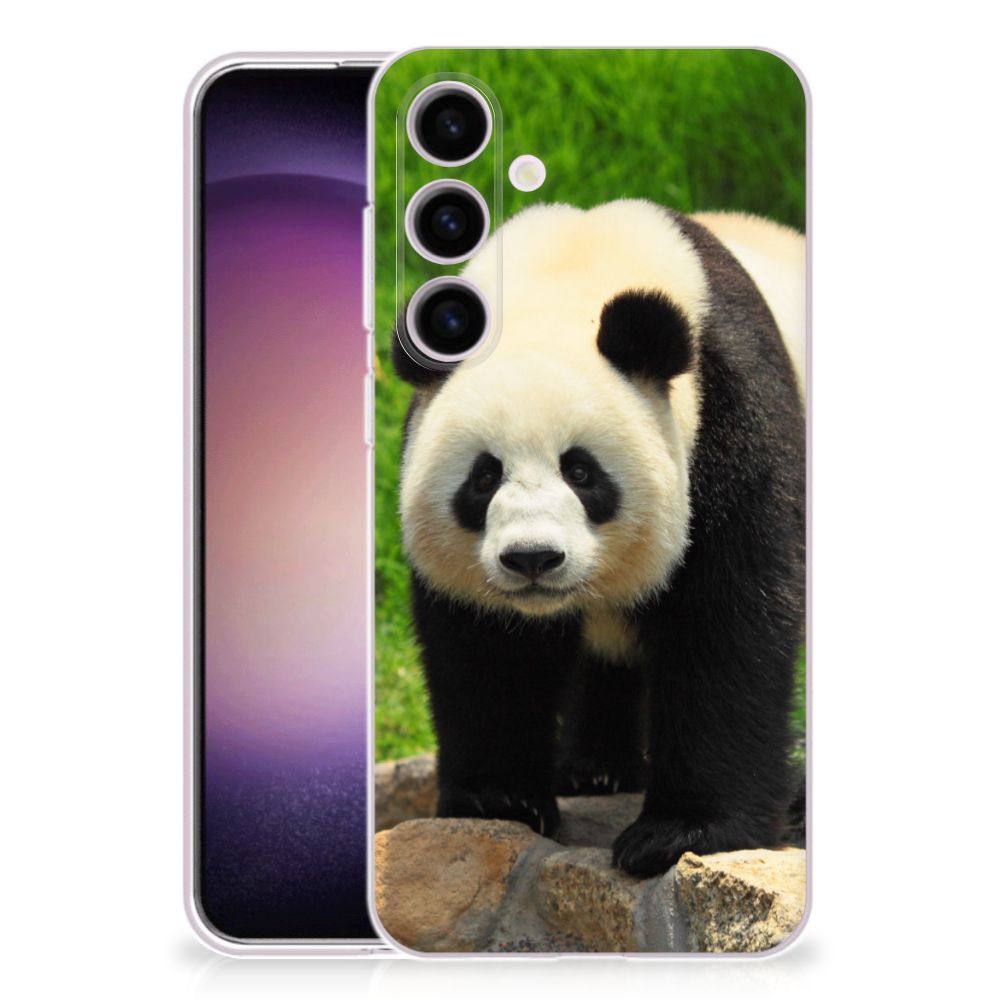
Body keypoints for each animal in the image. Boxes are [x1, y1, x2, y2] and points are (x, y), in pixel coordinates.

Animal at [391, 199, 805, 878]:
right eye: (484, 477)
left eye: (581, 472)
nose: (533, 558)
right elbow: (487, 648)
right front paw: (499, 799)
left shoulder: (731, 417)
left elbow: (729, 621)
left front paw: (680, 832)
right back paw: (594, 769)